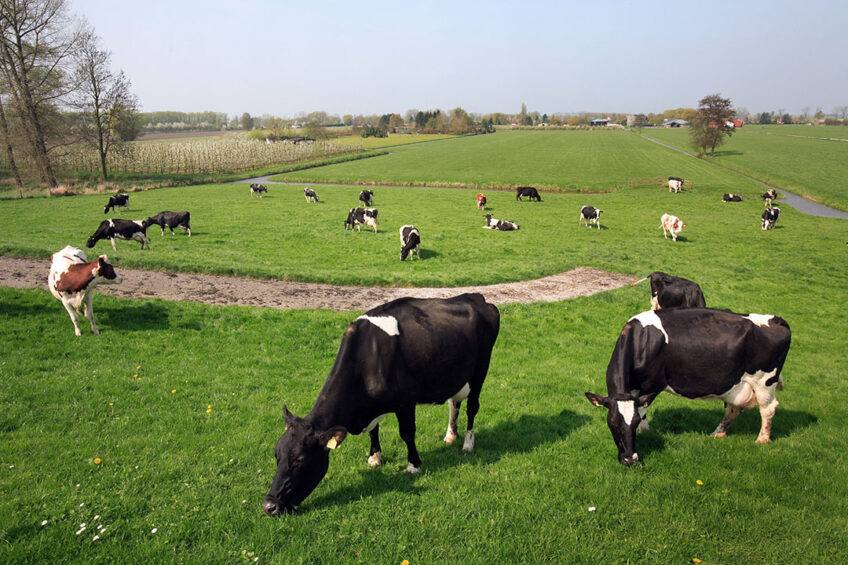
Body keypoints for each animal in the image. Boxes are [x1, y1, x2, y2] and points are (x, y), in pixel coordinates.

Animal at [262, 294, 500, 512]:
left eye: (299, 460)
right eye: (276, 454)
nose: (269, 505)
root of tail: (475, 297)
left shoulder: (406, 401)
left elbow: (407, 433)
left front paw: (413, 465)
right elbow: (373, 431)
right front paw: (375, 457)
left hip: (480, 371)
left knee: (472, 407)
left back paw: (468, 443)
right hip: (455, 374)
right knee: (454, 403)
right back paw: (451, 435)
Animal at [588, 306, 792, 464]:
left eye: (634, 422)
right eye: (613, 422)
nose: (630, 459)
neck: (642, 341)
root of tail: (777, 320)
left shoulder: (653, 384)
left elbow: (643, 410)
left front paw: (644, 433)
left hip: (765, 381)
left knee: (768, 408)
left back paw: (762, 440)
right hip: (739, 385)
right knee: (733, 409)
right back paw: (717, 434)